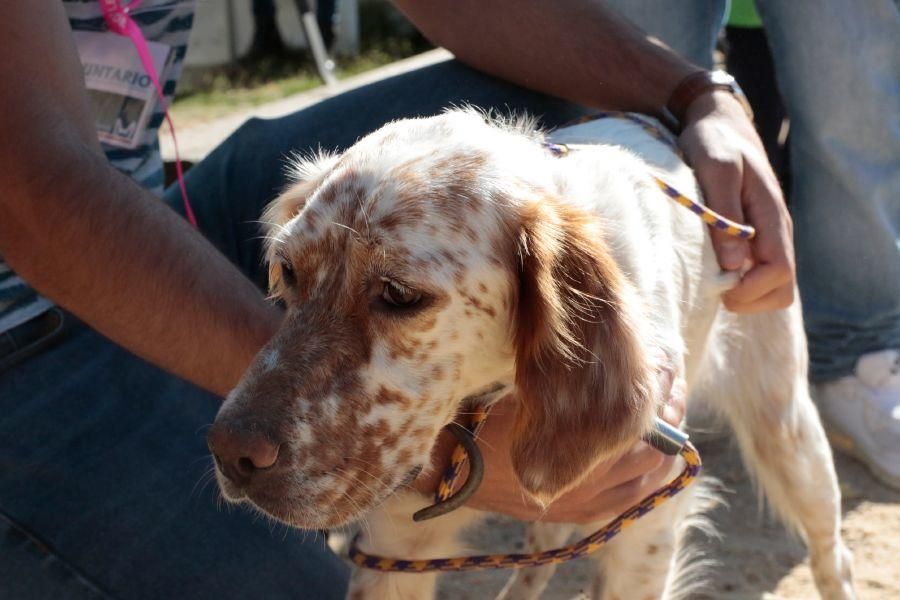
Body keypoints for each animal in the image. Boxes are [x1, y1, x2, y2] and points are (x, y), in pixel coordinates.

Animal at [207, 110, 856, 596]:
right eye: (288, 271)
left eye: (398, 293)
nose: (230, 452)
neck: (492, 401)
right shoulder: (396, 547)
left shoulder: (646, 522)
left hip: (787, 432)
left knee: (831, 553)